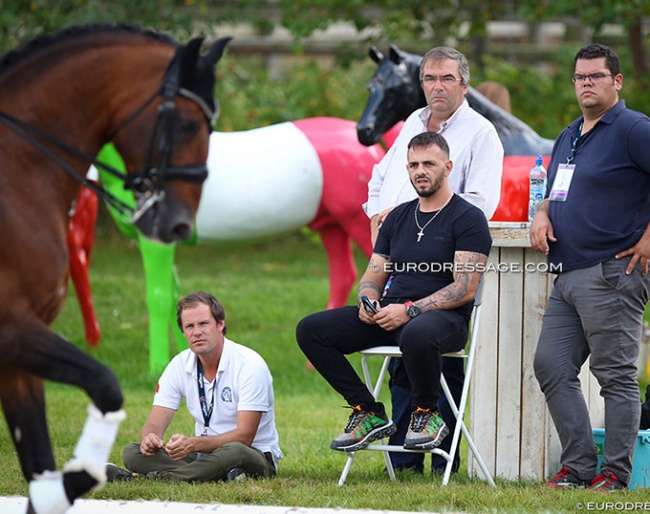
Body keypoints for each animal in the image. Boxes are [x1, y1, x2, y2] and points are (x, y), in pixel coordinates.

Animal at [0, 24, 229, 512]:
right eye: (187, 124)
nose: (180, 226)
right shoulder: (11, 325)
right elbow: (106, 384)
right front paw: (85, 472)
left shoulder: (18, 345)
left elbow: (38, 461)